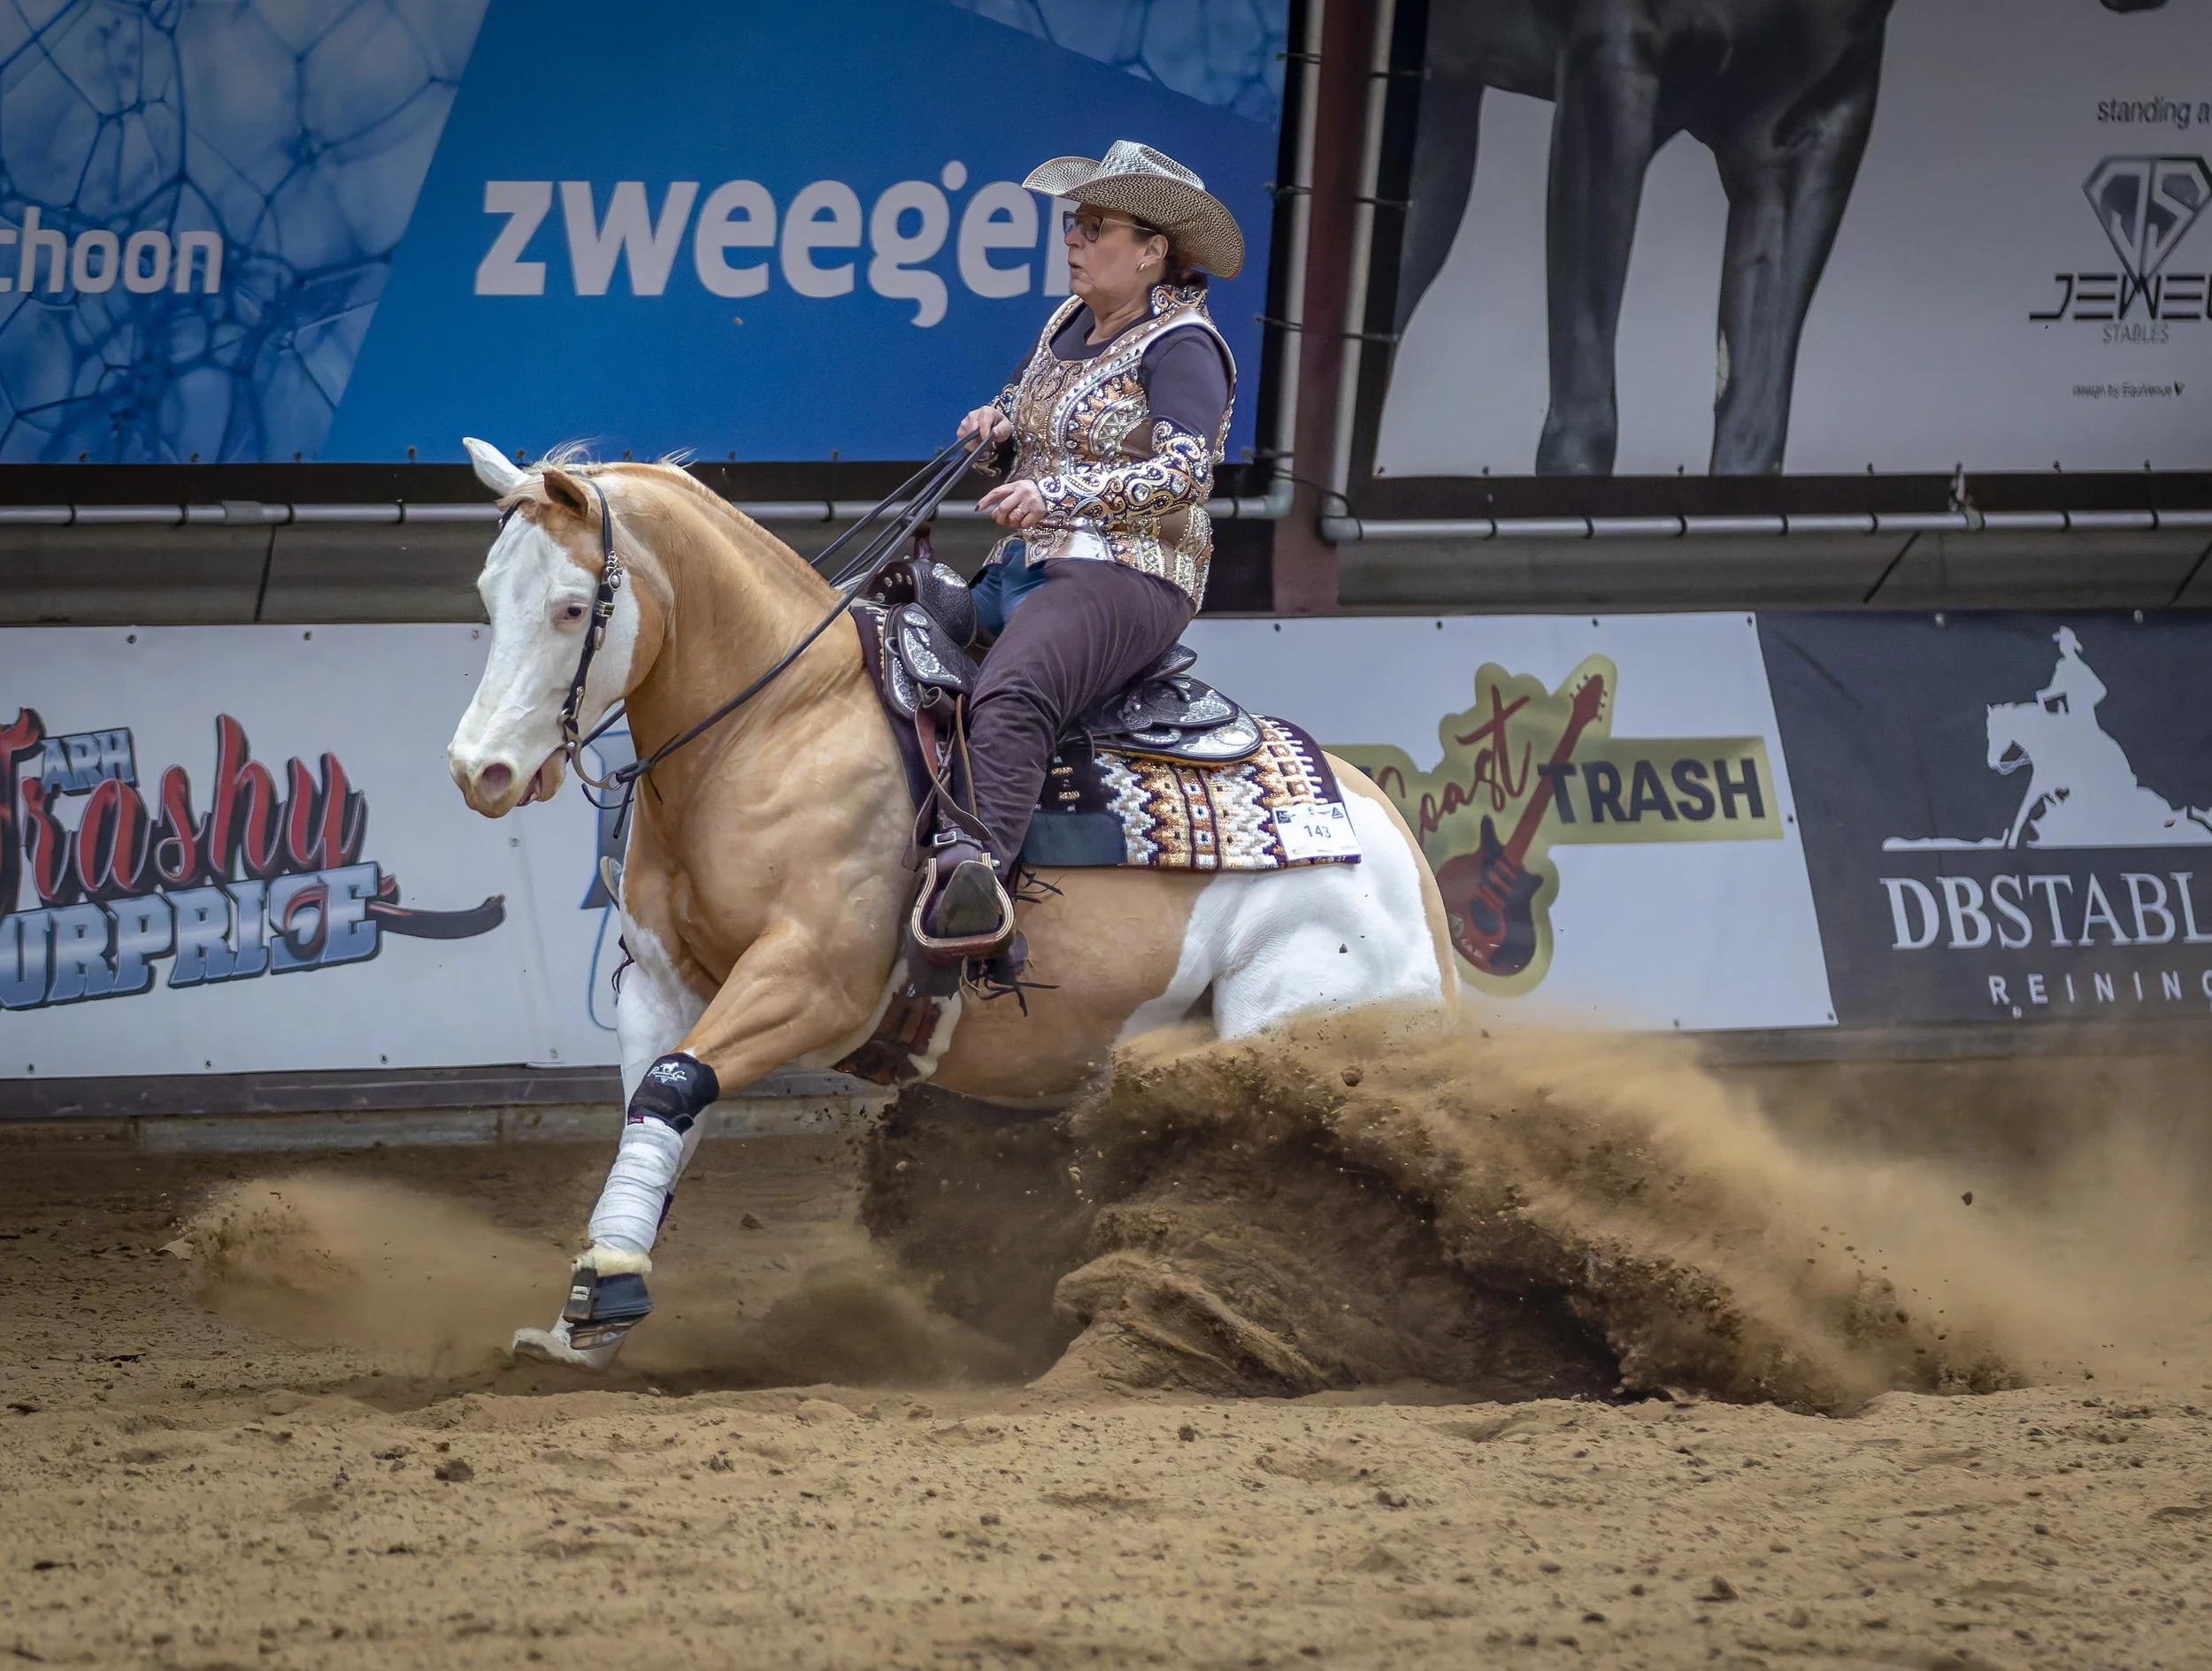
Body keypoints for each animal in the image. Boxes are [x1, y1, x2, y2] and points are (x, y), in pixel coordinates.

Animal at [445, 440, 1457, 1364]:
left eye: (572, 606)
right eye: (488, 596)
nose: (477, 770)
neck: (772, 726)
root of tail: (1394, 847)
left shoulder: (812, 984)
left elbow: (676, 1083)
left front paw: (606, 1293)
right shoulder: (662, 983)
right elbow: (661, 1106)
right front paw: (591, 1306)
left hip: (1298, 1020)